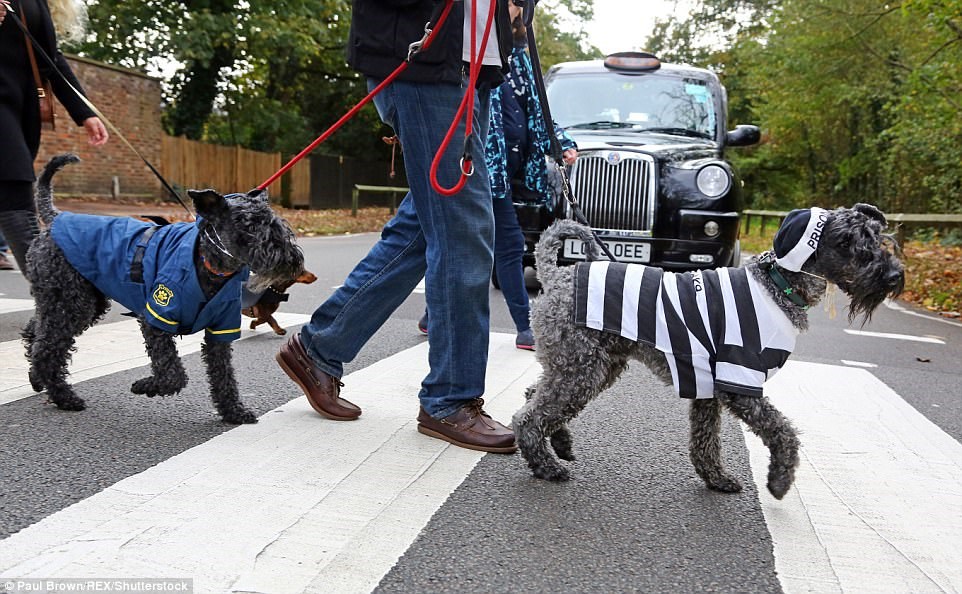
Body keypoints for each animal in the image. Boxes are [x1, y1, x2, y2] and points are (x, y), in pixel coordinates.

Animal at [23, 153, 304, 420]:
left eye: (275, 223)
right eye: (249, 225)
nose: (291, 258)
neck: (208, 262)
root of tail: (55, 220)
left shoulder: (220, 329)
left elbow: (223, 373)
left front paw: (233, 411)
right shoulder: (156, 317)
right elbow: (173, 373)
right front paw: (145, 385)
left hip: (79, 303)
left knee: (37, 331)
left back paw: (38, 379)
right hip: (73, 303)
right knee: (47, 347)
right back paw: (63, 397)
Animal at [512, 206, 904, 498]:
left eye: (876, 235)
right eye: (846, 241)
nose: (893, 276)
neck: (777, 285)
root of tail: (555, 277)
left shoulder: (708, 389)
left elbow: (705, 441)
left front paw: (716, 479)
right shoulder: (741, 383)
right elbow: (783, 431)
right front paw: (779, 480)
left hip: (590, 367)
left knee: (535, 395)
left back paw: (560, 443)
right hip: (584, 370)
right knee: (527, 417)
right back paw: (546, 465)